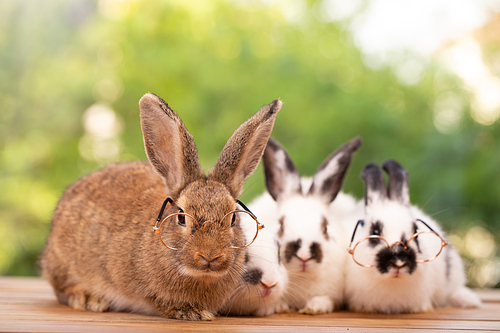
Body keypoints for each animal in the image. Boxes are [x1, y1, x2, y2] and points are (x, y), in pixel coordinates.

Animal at [252, 136, 362, 312]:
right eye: (281, 226)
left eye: (325, 228)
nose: (304, 255)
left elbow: (325, 299)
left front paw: (315, 308)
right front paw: (280, 307)